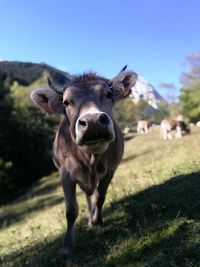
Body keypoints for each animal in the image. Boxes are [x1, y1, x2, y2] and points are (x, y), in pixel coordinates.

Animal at [30, 69, 138, 258]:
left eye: (109, 94)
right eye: (66, 102)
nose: (93, 121)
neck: (91, 160)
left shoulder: (110, 170)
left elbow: (100, 197)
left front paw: (97, 220)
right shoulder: (65, 173)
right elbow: (71, 211)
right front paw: (67, 247)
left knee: (93, 193)